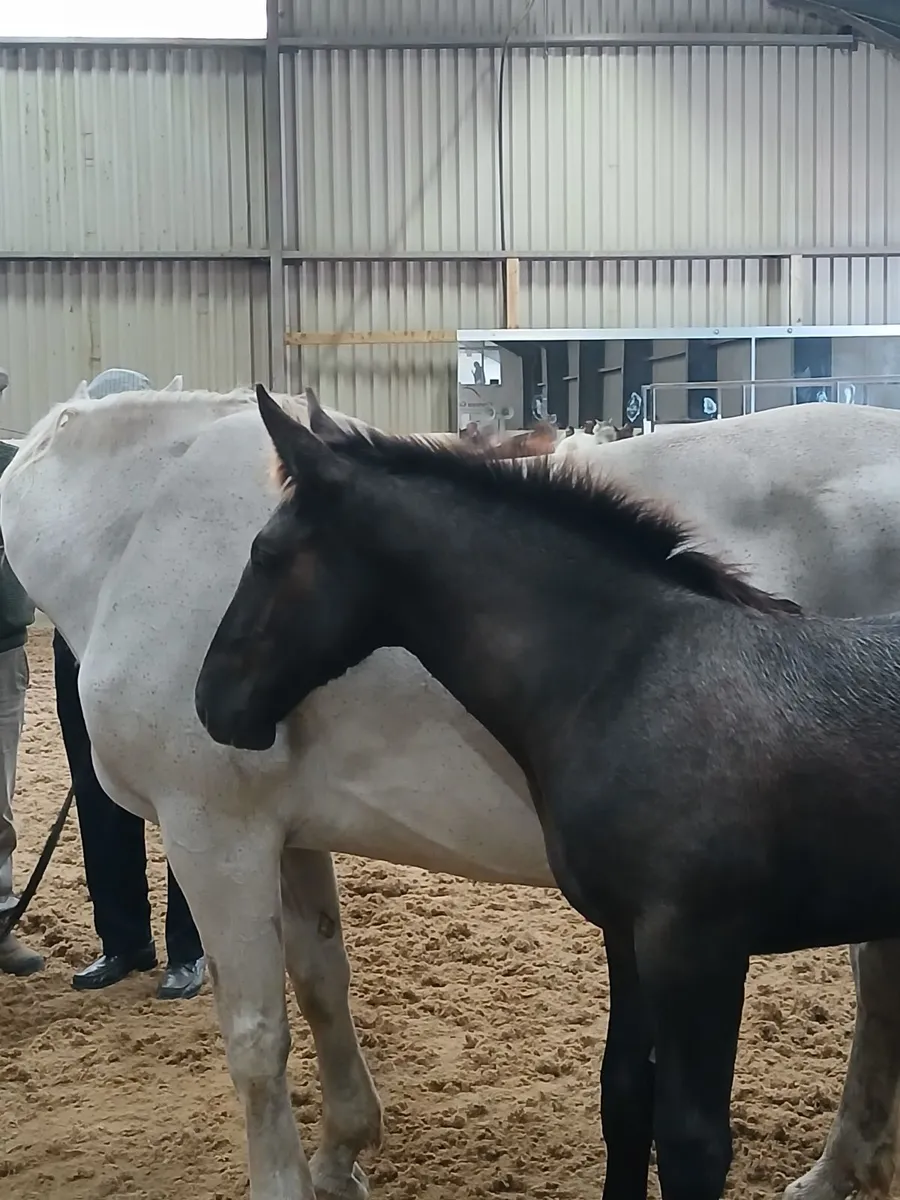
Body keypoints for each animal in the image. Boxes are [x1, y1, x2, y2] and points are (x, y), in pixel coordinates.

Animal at [4, 386, 900, 1200]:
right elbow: (322, 984)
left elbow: (256, 1042)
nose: (213, 704)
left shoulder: (213, 833)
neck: (135, 527)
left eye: (265, 555)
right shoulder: (289, 837)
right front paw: (340, 1155)